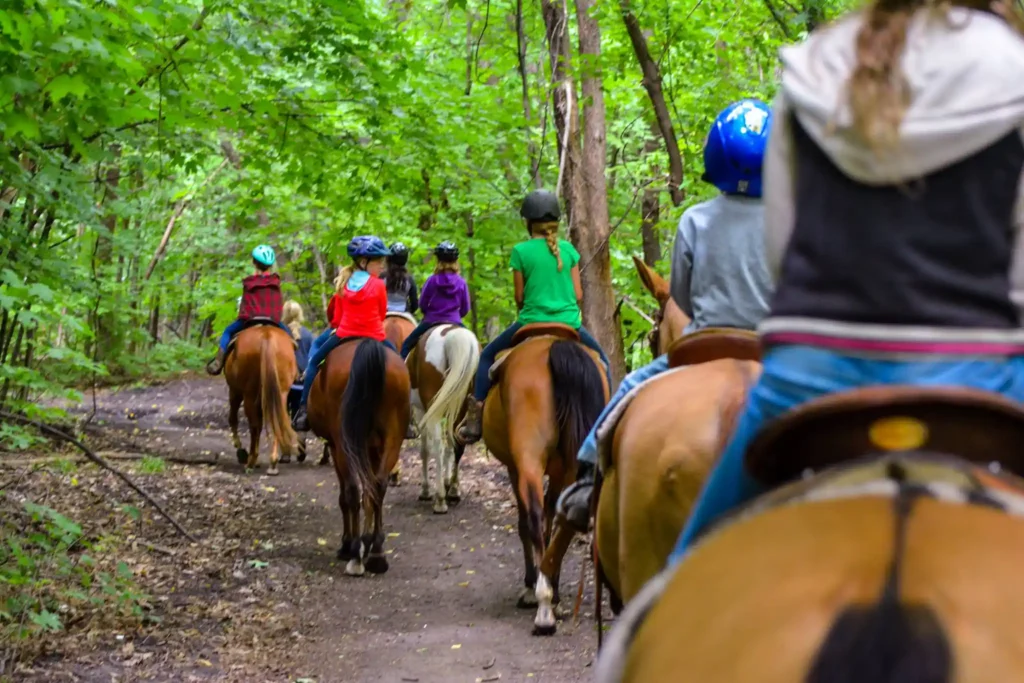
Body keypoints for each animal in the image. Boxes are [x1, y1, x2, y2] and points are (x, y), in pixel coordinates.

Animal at [223, 323, 299, 475]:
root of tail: (267, 336)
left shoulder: (234, 391)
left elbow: (233, 419)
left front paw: (241, 451)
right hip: (281, 393)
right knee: (277, 421)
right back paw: (273, 462)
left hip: (249, 394)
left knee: (254, 425)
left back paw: (251, 461)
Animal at [306, 338, 411, 576]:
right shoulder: (373, 447)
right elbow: (370, 493)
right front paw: (369, 541)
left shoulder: (335, 446)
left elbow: (346, 496)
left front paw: (349, 544)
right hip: (393, 438)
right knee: (377, 486)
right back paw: (377, 555)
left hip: (343, 442)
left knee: (353, 490)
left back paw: (354, 553)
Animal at [407, 324, 480, 514]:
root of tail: (452, 334)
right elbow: (450, 446)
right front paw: (448, 483)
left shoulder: (421, 410)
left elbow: (425, 450)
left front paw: (425, 490)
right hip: (461, 405)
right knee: (457, 444)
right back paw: (453, 491)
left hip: (433, 408)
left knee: (437, 446)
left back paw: (440, 500)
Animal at [482, 324, 609, 635]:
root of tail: (556, 347)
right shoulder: (560, 470)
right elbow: (553, 516)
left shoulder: (514, 467)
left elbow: (526, 523)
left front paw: (531, 587)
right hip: (573, 463)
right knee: (566, 518)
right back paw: (551, 596)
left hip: (528, 458)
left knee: (535, 517)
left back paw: (542, 603)